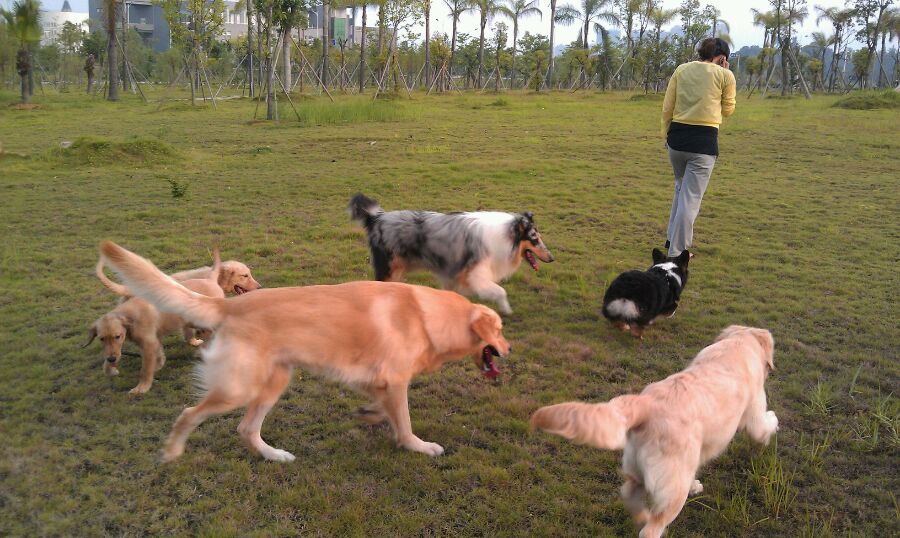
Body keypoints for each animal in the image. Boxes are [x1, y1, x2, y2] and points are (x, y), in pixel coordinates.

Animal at [86, 252, 225, 394]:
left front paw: (142, 387)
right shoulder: (153, 340)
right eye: (101, 339)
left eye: (117, 336)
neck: (130, 316)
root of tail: (211, 279)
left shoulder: (148, 344)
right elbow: (158, 355)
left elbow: (145, 369)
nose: (112, 359)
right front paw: (110, 369)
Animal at [348, 194, 554, 315]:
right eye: (535, 239)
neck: (505, 235)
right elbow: (500, 291)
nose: (552, 258)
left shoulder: (454, 274)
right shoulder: (475, 274)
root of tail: (377, 217)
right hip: (388, 267)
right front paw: (506, 310)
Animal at [531, 326, 779, 538]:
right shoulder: (754, 411)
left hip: (639, 468)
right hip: (673, 491)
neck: (737, 344)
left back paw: (642, 515)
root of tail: (646, 405)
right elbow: (762, 427)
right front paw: (774, 422)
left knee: (629, 493)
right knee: (651, 528)